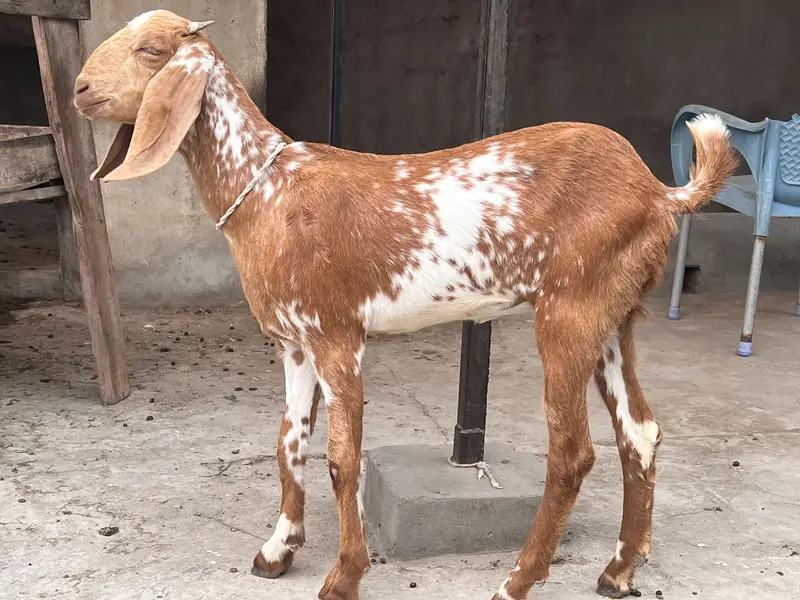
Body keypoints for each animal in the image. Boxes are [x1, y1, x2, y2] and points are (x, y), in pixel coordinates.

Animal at [74, 10, 737, 600]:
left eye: (151, 50)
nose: (80, 88)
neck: (268, 190)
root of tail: (658, 192)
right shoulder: (294, 343)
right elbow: (289, 442)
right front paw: (278, 548)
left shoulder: (337, 333)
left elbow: (342, 459)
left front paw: (344, 576)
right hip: (614, 317)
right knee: (641, 432)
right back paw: (619, 571)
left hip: (570, 311)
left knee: (573, 453)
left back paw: (515, 582)